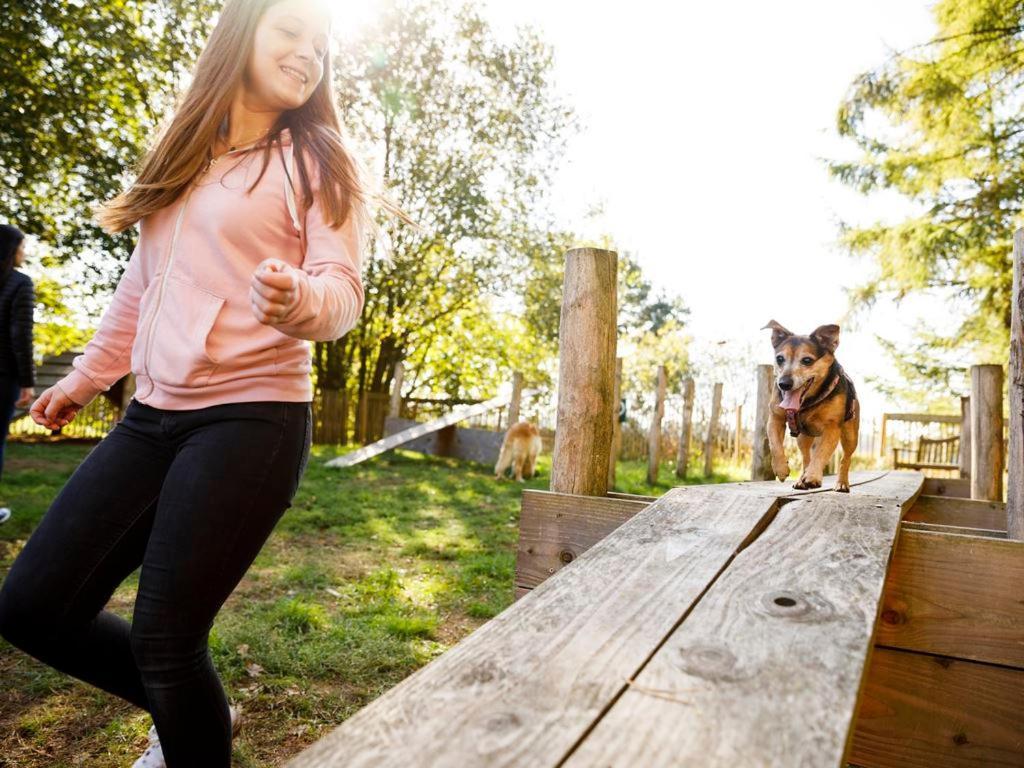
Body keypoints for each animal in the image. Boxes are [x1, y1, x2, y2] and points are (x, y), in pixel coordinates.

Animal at [765, 319, 860, 493]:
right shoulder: (775, 418)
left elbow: (821, 453)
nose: (784, 384)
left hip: (851, 435)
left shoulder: (832, 428)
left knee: (845, 459)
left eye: (807, 360)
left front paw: (813, 476)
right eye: (780, 359)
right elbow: (774, 445)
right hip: (802, 437)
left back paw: (842, 483)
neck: (808, 402)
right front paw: (781, 469)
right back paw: (801, 480)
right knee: (806, 456)